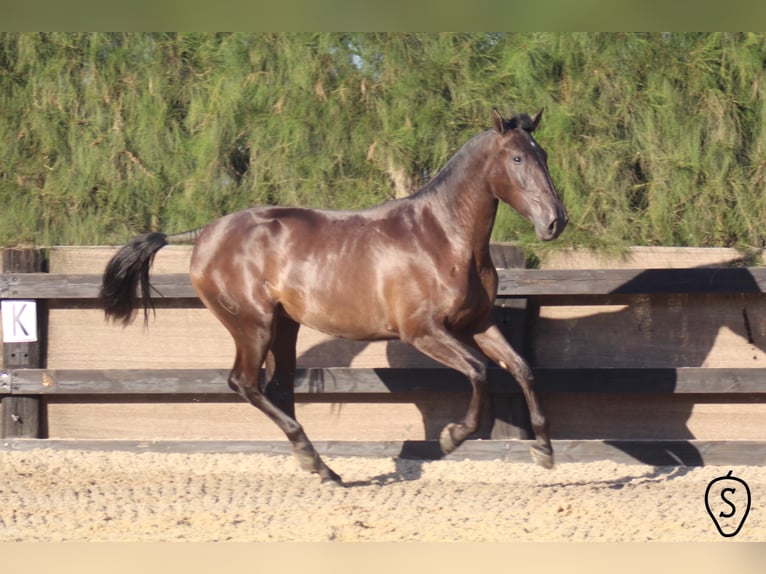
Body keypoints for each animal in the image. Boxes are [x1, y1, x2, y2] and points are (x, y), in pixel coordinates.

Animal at [100, 109, 568, 486]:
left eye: (544, 154)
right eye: (517, 158)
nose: (555, 222)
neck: (441, 237)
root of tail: (206, 233)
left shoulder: (478, 324)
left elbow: (522, 369)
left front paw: (544, 451)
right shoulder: (422, 331)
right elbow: (479, 371)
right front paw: (453, 436)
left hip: (284, 326)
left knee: (279, 387)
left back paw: (320, 467)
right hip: (253, 325)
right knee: (245, 383)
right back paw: (316, 463)